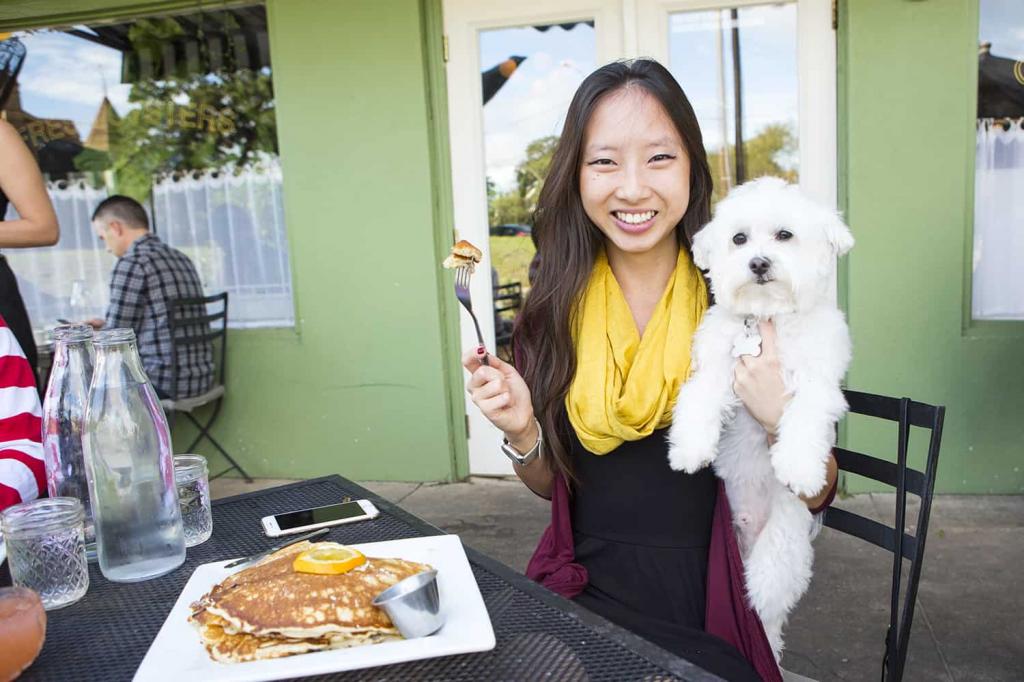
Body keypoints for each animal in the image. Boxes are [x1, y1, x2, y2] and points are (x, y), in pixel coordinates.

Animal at [667, 178, 851, 655]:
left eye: (785, 235)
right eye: (739, 239)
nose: (758, 262)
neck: (768, 318)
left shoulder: (818, 383)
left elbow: (803, 417)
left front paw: (799, 467)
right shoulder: (717, 365)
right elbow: (699, 398)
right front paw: (689, 448)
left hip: (779, 555)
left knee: (766, 603)